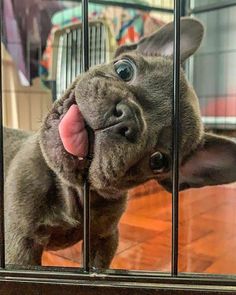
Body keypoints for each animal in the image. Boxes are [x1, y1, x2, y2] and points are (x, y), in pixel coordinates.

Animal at [3, 17, 236, 268]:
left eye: (158, 160)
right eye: (124, 69)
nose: (127, 116)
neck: (72, 193)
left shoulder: (104, 239)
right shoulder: (21, 244)